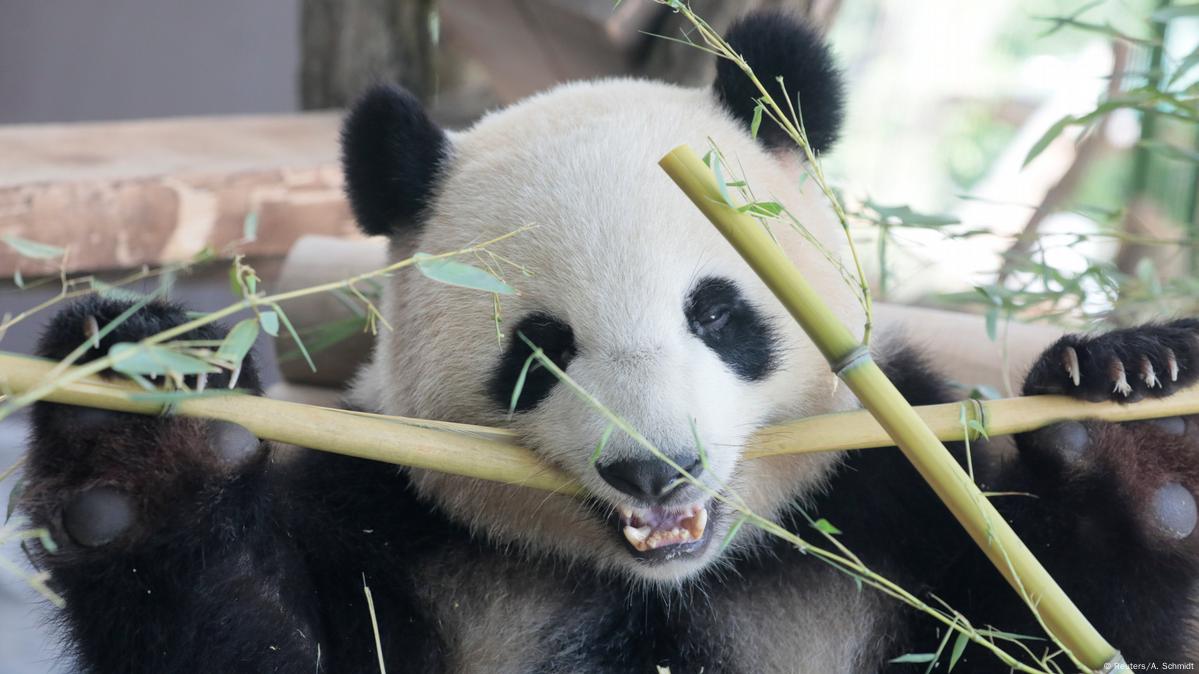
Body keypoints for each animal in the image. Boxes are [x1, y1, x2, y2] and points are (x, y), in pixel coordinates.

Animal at [16, 11, 1199, 671]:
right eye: (540, 348)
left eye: (715, 312)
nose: (653, 468)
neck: (665, 581)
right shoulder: (393, 530)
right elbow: (254, 641)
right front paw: (141, 431)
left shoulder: (886, 511)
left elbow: (1043, 635)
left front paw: (1132, 417)